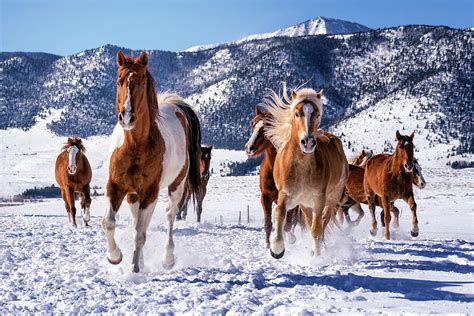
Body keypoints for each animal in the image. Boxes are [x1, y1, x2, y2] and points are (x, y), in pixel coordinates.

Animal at [102, 50, 202, 272]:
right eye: (119, 81)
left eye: (142, 82)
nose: (127, 117)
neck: (134, 147)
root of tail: (175, 107)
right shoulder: (115, 187)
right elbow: (109, 223)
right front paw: (115, 257)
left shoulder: (150, 192)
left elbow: (140, 234)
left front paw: (134, 269)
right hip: (133, 195)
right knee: (136, 221)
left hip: (176, 186)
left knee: (170, 215)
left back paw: (168, 259)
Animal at [244, 106, 304, 247]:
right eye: (253, 124)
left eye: (268, 126)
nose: (250, 147)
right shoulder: (265, 197)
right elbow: (268, 224)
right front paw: (267, 244)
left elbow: (288, 224)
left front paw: (288, 240)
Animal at [262, 85, 348, 258]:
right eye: (297, 113)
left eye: (317, 114)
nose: (307, 142)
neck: (302, 169)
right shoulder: (287, 194)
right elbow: (280, 212)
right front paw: (277, 248)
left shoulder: (318, 198)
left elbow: (316, 228)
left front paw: (317, 256)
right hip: (305, 203)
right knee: (311, 221)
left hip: (331, 198)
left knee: (323, 221)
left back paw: (320, 246)